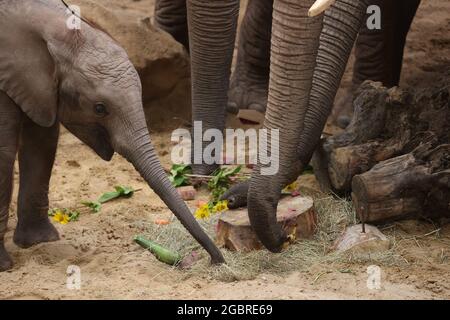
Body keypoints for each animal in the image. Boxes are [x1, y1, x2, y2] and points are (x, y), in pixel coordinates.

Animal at [0, 0, 224, 272]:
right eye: (99, 108)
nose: (217, 260)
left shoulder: (40, 89)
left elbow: (42, 141)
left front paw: (40, 242)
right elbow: (4, 152)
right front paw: (4, 265)